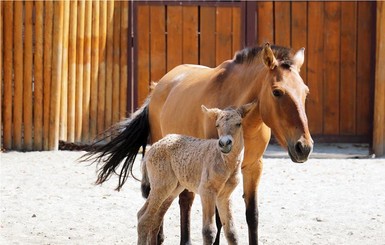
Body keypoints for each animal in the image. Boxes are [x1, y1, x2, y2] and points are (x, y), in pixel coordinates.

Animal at [136, 102, 254, 244]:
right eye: (217, 125)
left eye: (239, 123)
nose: (224, 143)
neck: (226, 164)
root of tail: (151, 148)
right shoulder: (206, 191)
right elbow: (209, 231)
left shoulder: (225, 195)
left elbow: (231, 232)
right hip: (161, 185)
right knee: (144, 218)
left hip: (173, 187)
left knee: (154, 218)